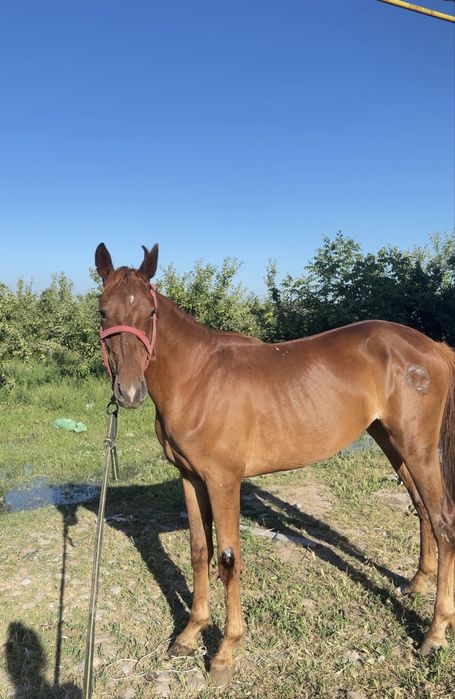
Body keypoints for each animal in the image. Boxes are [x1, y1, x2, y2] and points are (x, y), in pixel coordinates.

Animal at [95, 241, 455, 684]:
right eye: (103, 311)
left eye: (150, 312)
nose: (129, 392)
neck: (196, 377)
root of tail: (432, 347)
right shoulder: (190, 478)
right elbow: (198, 549)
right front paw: (190, 632)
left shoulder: (223, 481)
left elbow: (228, 558)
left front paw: (225, 652)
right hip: (390, 441)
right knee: (422, 509)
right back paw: (417, 584)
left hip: (417, 447)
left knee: (443, 521)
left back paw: (435, 632)